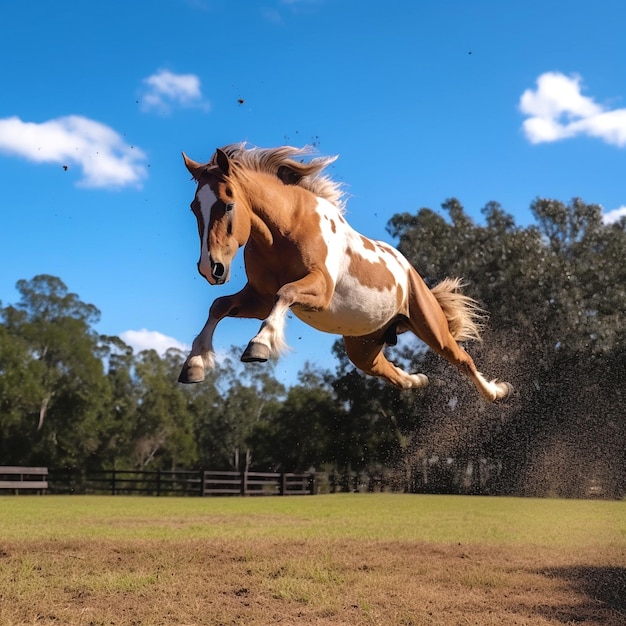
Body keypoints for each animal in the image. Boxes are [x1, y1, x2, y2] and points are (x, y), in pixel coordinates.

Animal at [178, 143, 510, 400]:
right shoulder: (258, 299)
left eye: (227, 204)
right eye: (194, 207)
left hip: (431, 327)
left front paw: (259, 345)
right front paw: (194, 364)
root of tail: (411, 273)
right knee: (389, 372)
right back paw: (417, 379)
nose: (211, 268)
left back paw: (497, 392)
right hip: (363, 348)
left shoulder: (319, 290)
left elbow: (284, 293)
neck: (285, 229)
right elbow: (219, 306)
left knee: (463, 359)